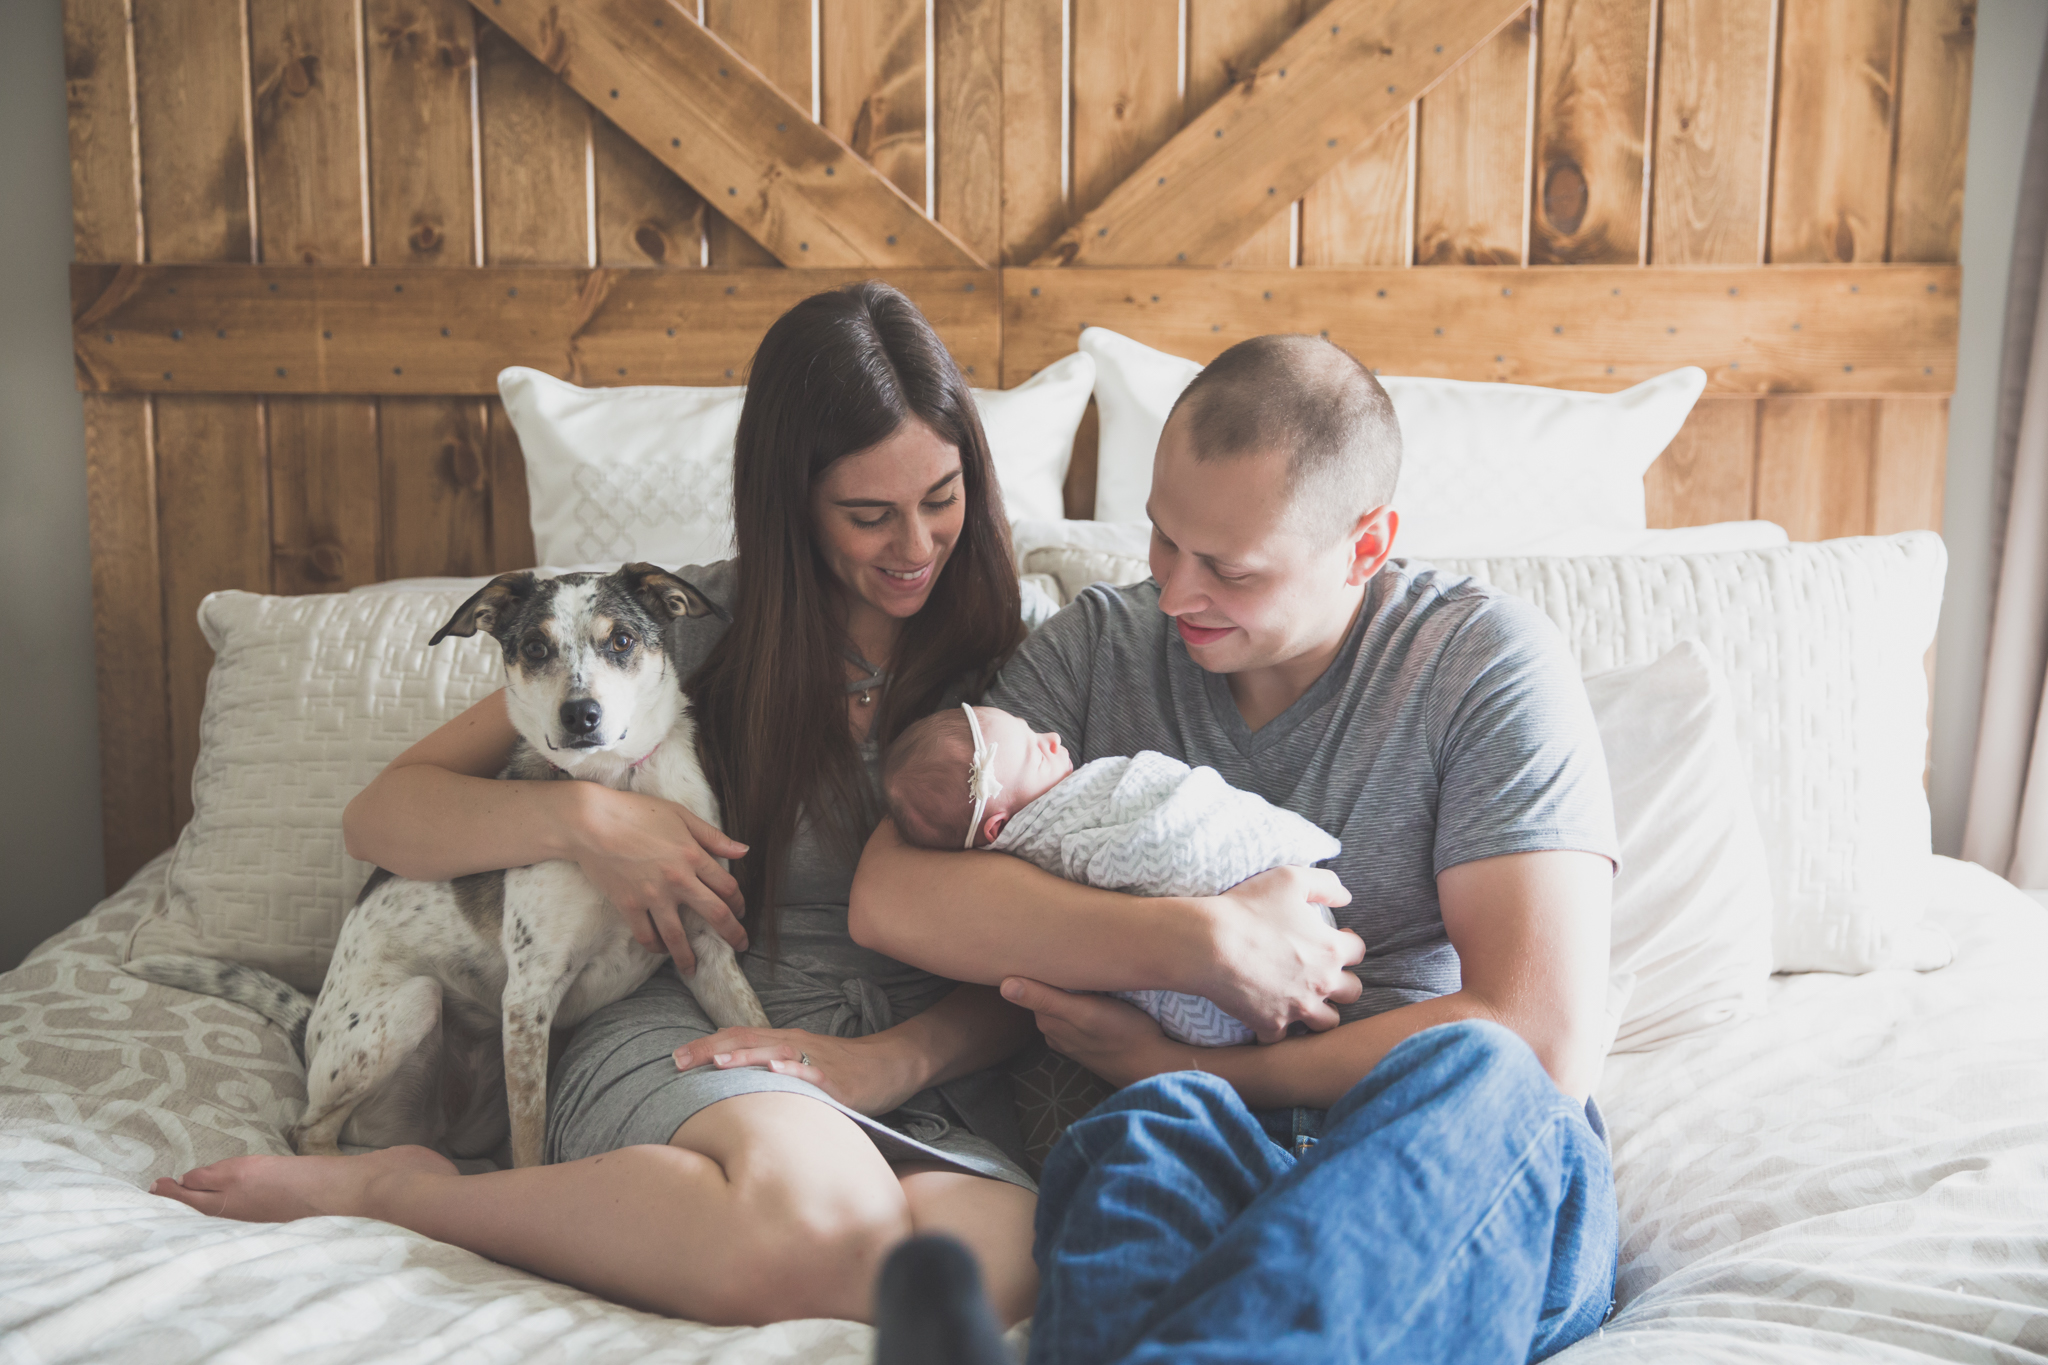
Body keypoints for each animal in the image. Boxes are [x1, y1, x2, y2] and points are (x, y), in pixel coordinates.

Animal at [130, 560, 770, 1170]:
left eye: (622, 640)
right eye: (534, 647)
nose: (580, 715)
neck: (618, 787)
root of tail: (308, 1031)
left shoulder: (707, 949)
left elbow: (757, 1029)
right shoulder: (530, 997)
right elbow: (531, 1147)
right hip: (409, 1007)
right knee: (306, 1131)